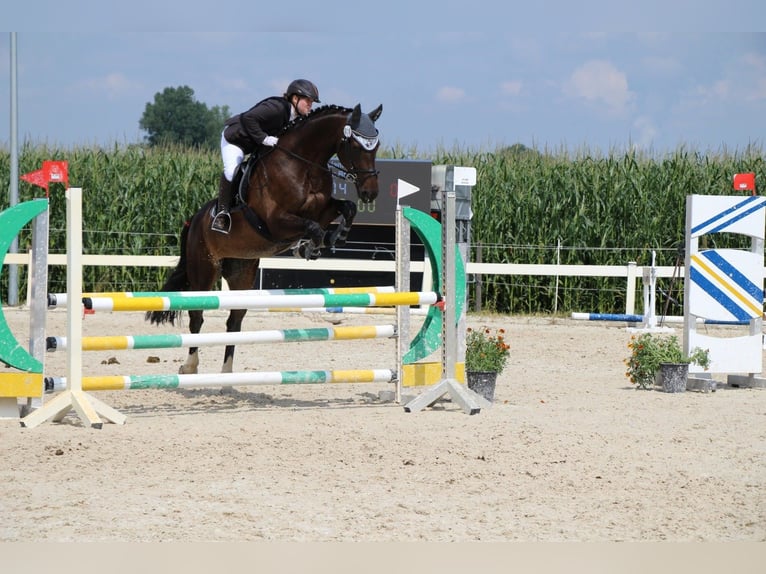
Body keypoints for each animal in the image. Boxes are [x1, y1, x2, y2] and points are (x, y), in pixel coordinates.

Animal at [146, 103, 383, 375]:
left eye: (376, 146)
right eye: (355, 146)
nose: (370, 193)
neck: (304, 165)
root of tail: (193, 220)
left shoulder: (323, 209)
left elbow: (346, 209)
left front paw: (334, 237)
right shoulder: (276, 222)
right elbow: (313, 227)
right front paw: (310, 247)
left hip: (241, 271)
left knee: (234, 320)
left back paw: (227, 373)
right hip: (204, 269)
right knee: (197, 316)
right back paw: (190, 367)